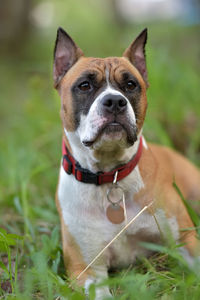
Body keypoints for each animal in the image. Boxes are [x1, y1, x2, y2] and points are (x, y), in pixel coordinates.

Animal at [53, 27, 200, 298]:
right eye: (85, 85)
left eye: (131, 84)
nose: (114, 101)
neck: (109, 175)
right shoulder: (87, 271)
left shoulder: (186, 243)